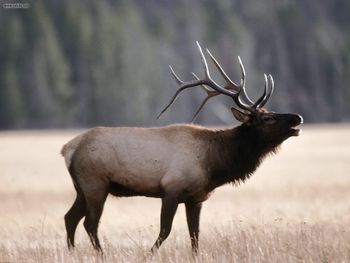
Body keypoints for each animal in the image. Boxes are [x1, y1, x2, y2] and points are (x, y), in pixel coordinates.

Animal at [61, 42, 302, 255]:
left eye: (270, 112)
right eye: (267, 118)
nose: (297, 117)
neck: (213, 164)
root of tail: (68, 148)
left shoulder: (196, 198)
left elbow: (195, 234)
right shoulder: (171, 189)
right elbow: (164, 231)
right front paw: (148, 255)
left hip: (81, 188)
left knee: (70, 218)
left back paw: (72, 253)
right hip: (95, 184)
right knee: (90, 223)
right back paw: (101, 254)